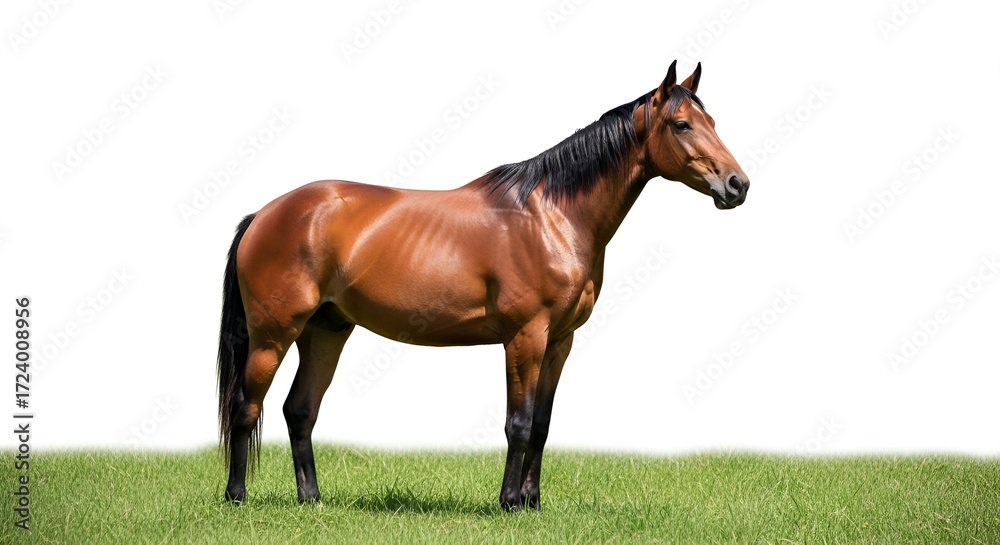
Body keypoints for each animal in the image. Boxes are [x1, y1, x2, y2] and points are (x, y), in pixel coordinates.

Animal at [217, 60, 749, 510]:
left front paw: (533, 503)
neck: (551, 216)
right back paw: (237, 497)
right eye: (681, 125)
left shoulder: (559, 341)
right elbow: (518, 423)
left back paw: (312, 500)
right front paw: (509, 502)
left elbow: (541, 425)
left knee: (299, 410)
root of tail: (265, 213)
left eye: (713, 121)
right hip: (273, 335)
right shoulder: (525, 337)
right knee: (247, 407)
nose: (737, 185)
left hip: (326, 329)